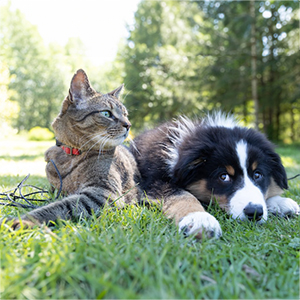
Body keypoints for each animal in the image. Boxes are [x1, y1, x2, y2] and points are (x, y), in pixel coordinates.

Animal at [6, 69, 142, 229]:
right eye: (106, 113)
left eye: (126, 115)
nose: (129, 125)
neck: (71, 155)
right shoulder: (55, 189)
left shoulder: (102, 193)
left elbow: (58, 207)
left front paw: (23, 220)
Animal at [131, 111, 300, 238]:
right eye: (224, 177)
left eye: (258, 175)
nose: (254, 213)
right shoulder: (154, 182)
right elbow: (182, 195)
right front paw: (199, 219)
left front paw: (279, 202)